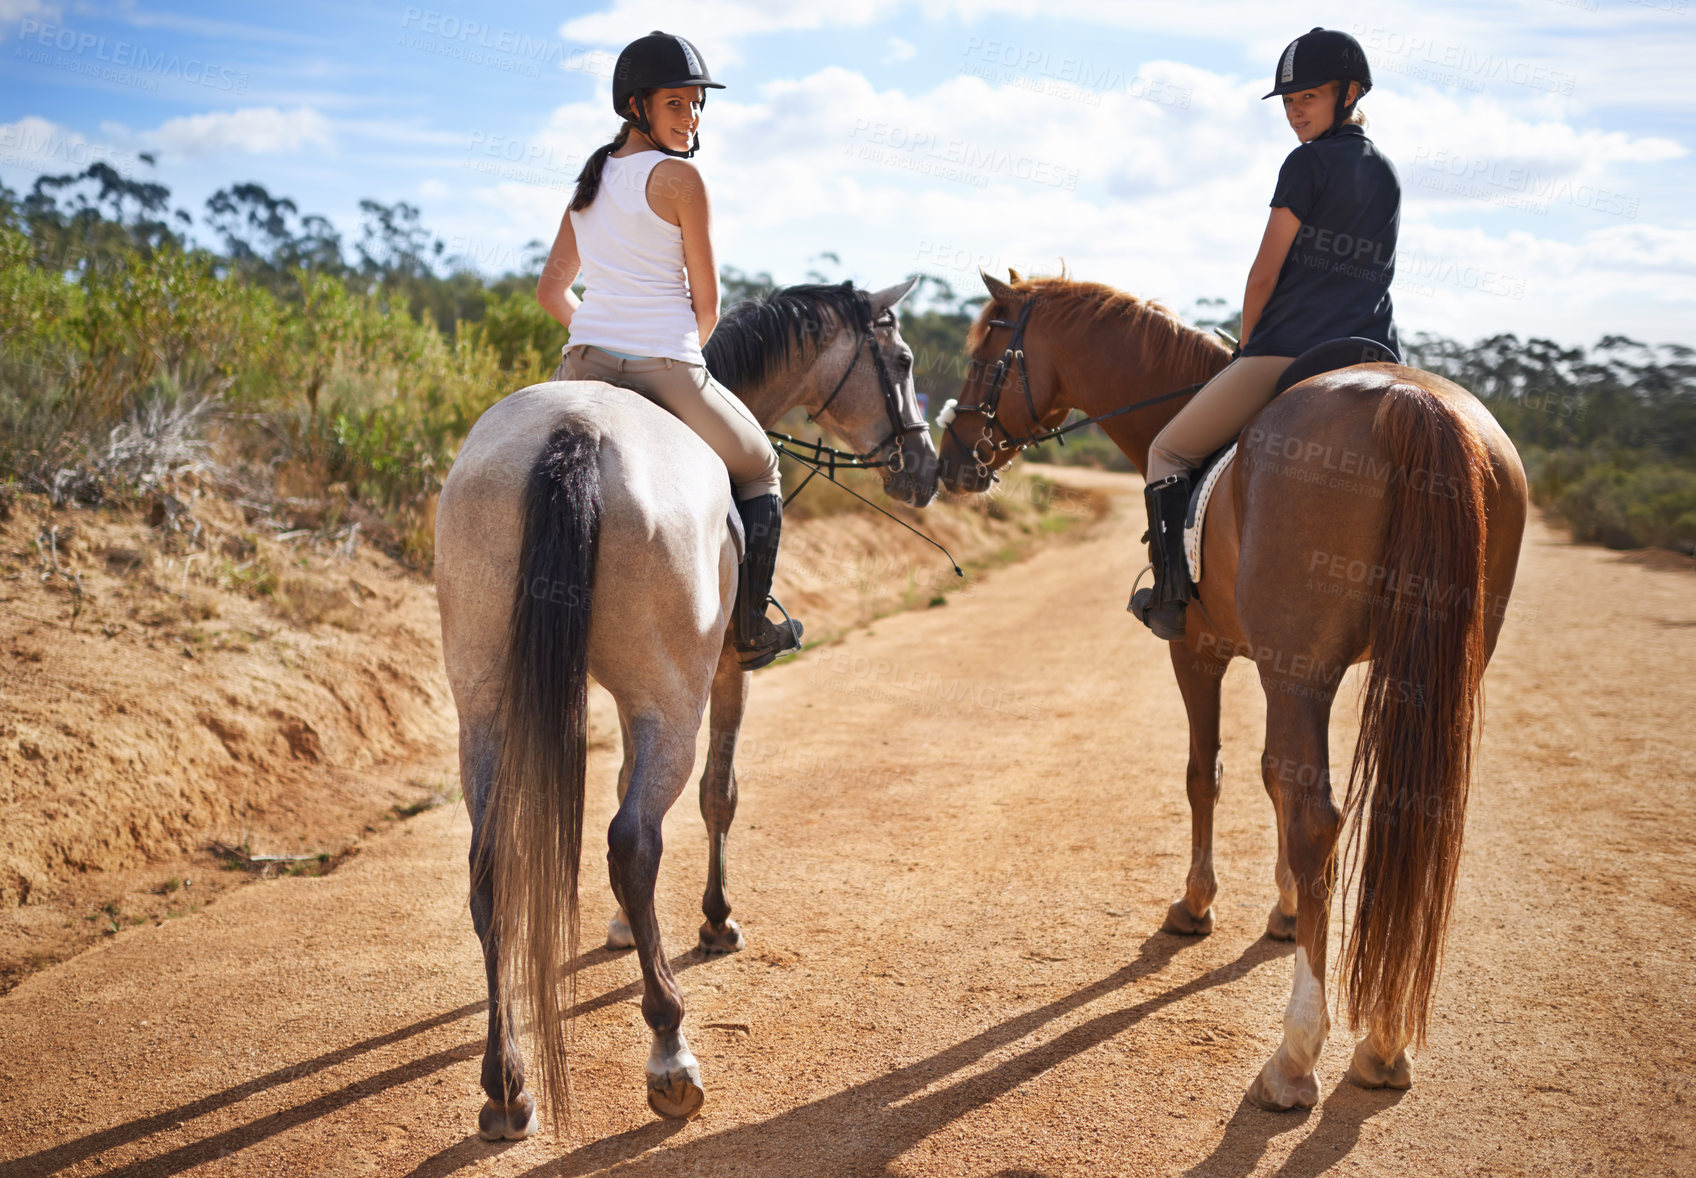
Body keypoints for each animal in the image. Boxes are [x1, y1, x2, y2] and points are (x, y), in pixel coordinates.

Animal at [437, 277, 936, 1145]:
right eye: (902, 360)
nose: (926, 465)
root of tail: (575, 432)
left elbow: (621, 786)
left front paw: (618, 930)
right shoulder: (725, 673)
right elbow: (718, 796)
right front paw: (714, 921)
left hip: (486, 704)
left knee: (492, 860)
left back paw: (506, 1087)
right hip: (676, 700)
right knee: (634, 841)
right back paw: (670, 1052)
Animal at [936, 271, 1533, 1111]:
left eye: (986, 354)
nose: (953, 458)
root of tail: (1411, 404)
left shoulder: (1203, 651)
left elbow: (1207, 773)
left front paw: (1196, 904)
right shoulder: (1284, 665)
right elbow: (1270, 780)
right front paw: (1283, 910)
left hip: (1298, 670)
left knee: (1319, 819)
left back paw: (1296, 1054)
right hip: (1431, 671)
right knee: (1410, 813)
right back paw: (1384, 1042)